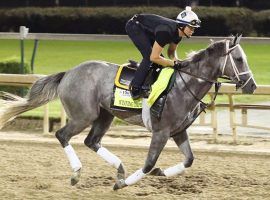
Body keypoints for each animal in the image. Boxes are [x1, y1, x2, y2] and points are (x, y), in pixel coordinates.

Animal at [0, 35, 255, 190]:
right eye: (239, 59)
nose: (252, 85)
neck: (184, 85)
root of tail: (68, 73)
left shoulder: (178, 131)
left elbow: (189, 160)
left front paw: (160, 173)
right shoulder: (161, 132)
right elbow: (148, 163)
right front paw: (124, 184)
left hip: (105, 115)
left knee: (92, 141)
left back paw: (120, 169)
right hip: (84, 116)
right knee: (62, 135)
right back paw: (77, 173)